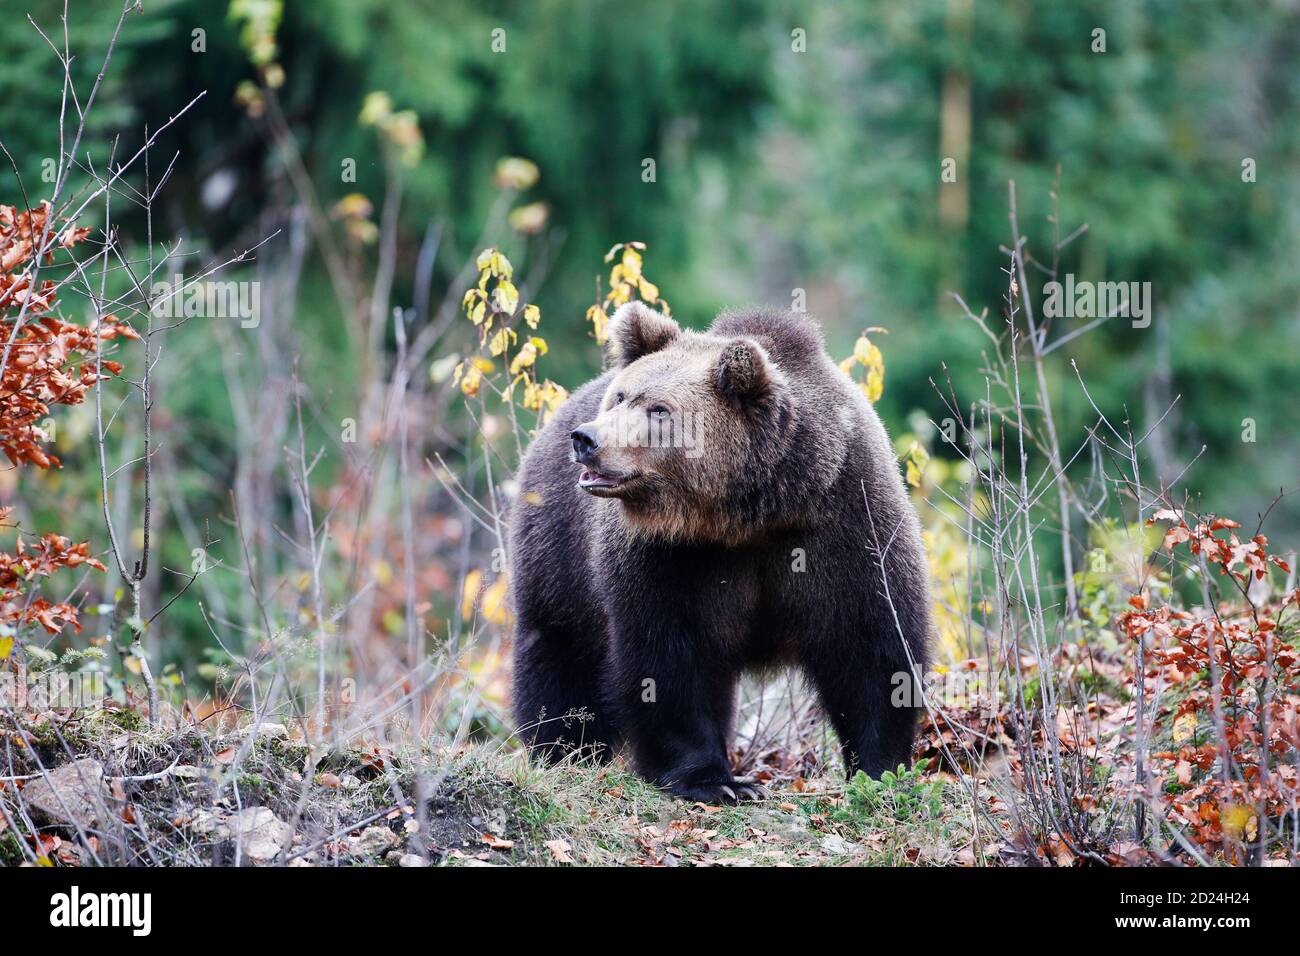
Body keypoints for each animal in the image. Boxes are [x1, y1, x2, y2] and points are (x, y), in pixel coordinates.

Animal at [509, 301, 930, 802]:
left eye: (659, 410)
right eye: (621, 397)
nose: (587, 439)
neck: (751, 514)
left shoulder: (845, 524)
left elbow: (871, 647)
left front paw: (881, 769)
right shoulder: (671, 558)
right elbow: (671, 658)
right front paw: (716, 781)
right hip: (557, 548)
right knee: (560, 651)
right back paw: (561, 749)